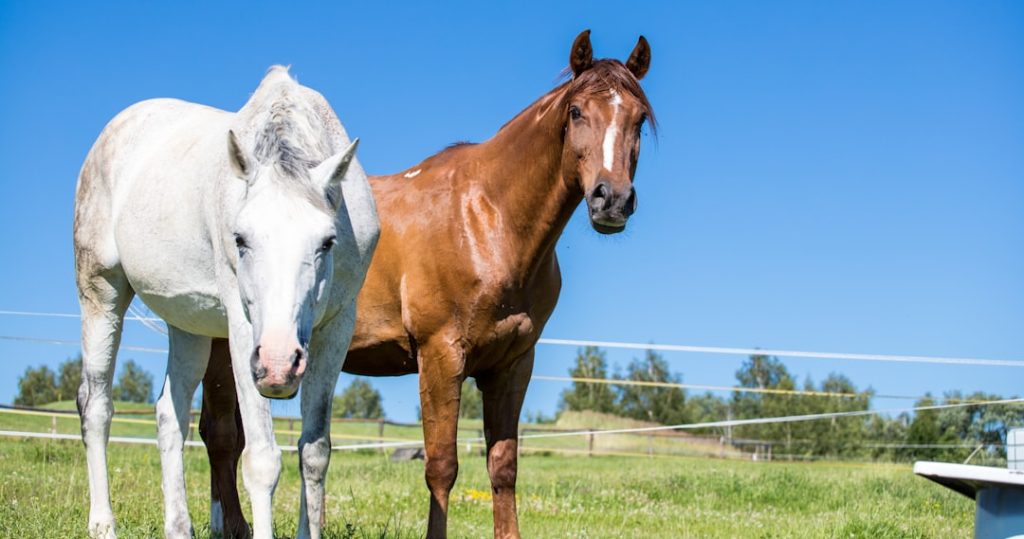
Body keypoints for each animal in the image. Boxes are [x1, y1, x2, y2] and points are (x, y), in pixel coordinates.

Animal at [73, 66, 380, 539]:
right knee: (97, 406)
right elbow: (262, 460)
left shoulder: (336, 328)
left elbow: (314, 452)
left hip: (189, 328)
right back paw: (103, 523)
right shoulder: (241, 329)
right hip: (101, 294)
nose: (278, 364)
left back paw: (178, 527)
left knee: (169, 415)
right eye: (240, 239)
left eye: (327, 242)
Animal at [201, 30, 654, 538]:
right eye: (577, 111)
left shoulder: (513, 365)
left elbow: (503, 466)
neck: (487, 220)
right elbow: (441, 466)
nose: (611, 199)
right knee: (221, 436)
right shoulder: (440, 356)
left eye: (638, 118)